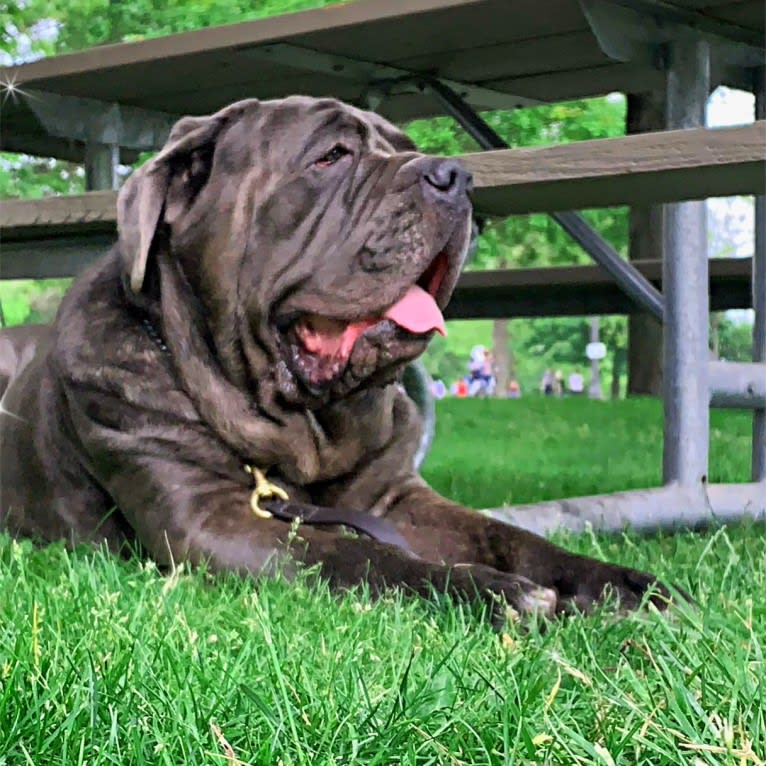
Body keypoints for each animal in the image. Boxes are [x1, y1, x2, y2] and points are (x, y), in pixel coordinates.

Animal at [0, 97, 672, 624]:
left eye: (406, 148)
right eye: (332, 156)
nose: (455, 175)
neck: (300, 432)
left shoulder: (395, 497)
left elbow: (506, 533)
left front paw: (619, 582)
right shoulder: (208, 518)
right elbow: (352, 554)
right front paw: (488, 592)